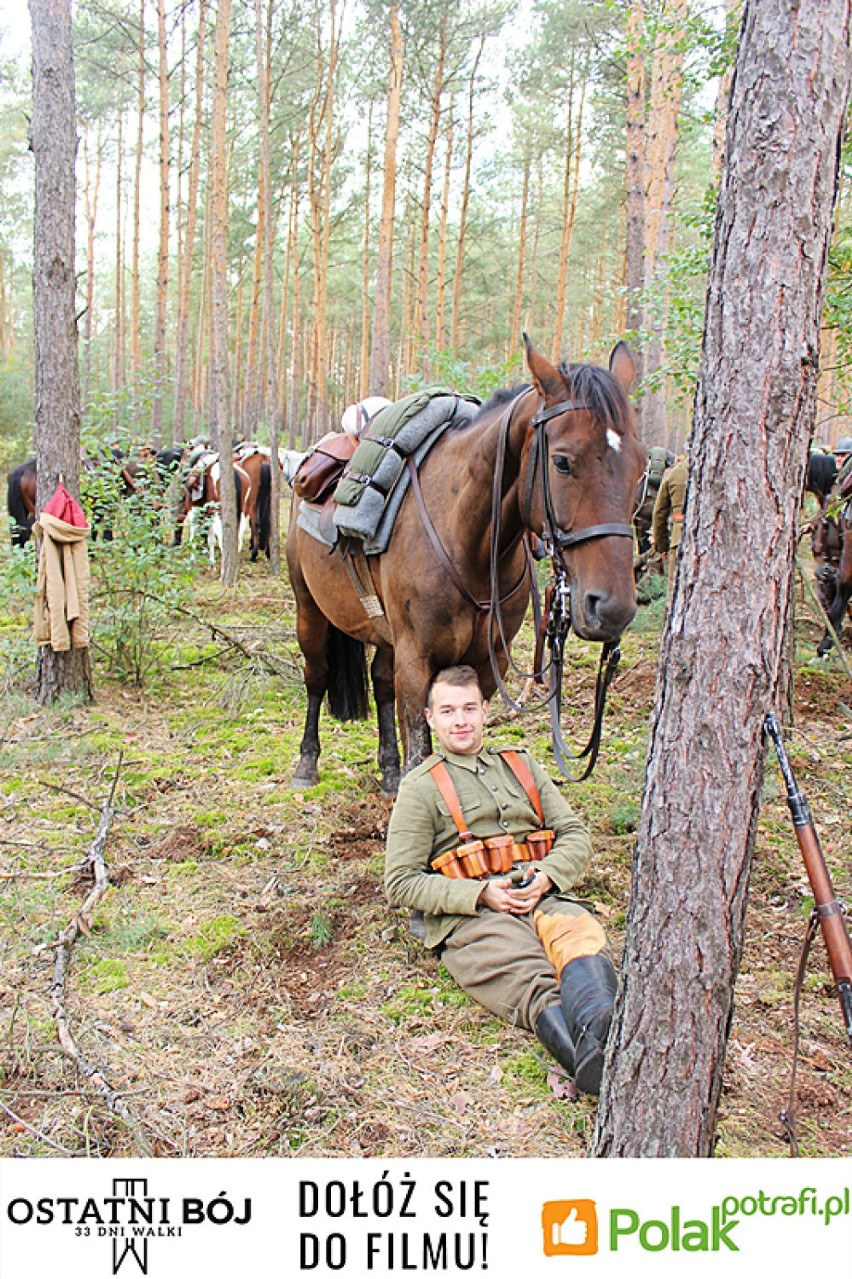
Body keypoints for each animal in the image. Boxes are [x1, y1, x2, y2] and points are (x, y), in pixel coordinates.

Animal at [285, 332, 644, 787]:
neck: (467, 546)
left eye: (642, 466)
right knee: (316, 675)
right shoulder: (416, 661)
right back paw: (307, 763)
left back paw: (388, 769)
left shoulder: (487, 665)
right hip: (310, 609)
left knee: (380, 682)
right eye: (562, 462)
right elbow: (420, 753)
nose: (613, 608)